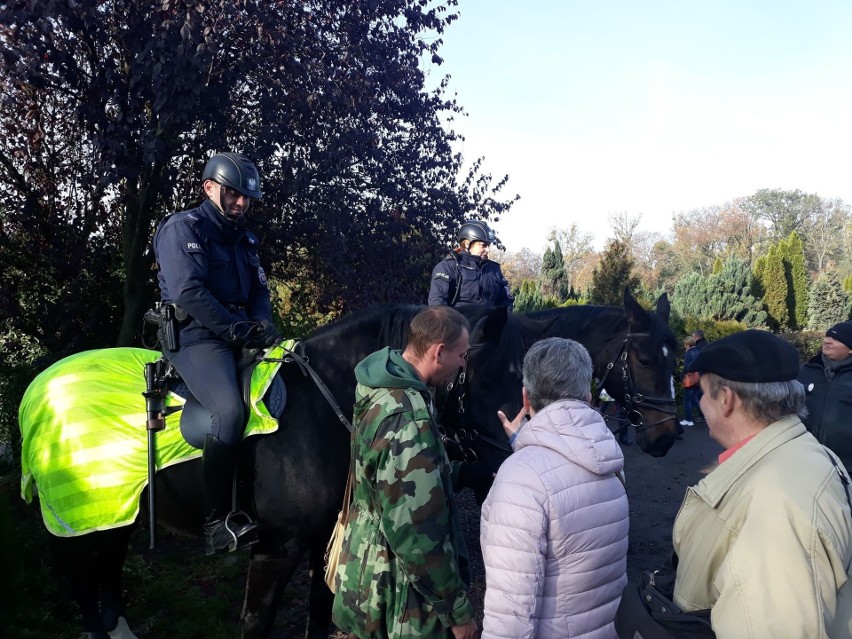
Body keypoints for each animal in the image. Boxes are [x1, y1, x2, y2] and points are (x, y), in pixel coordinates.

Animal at [20, 292, 680, 639]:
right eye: (647, 358)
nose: (668, 436)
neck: (329, 405)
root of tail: (39, 385)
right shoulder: (274, 551)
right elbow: (258, 622)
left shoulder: (320, 543)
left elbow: (320, 611)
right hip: (83, 517)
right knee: (87, 578)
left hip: (114, 515)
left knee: (105, 575)